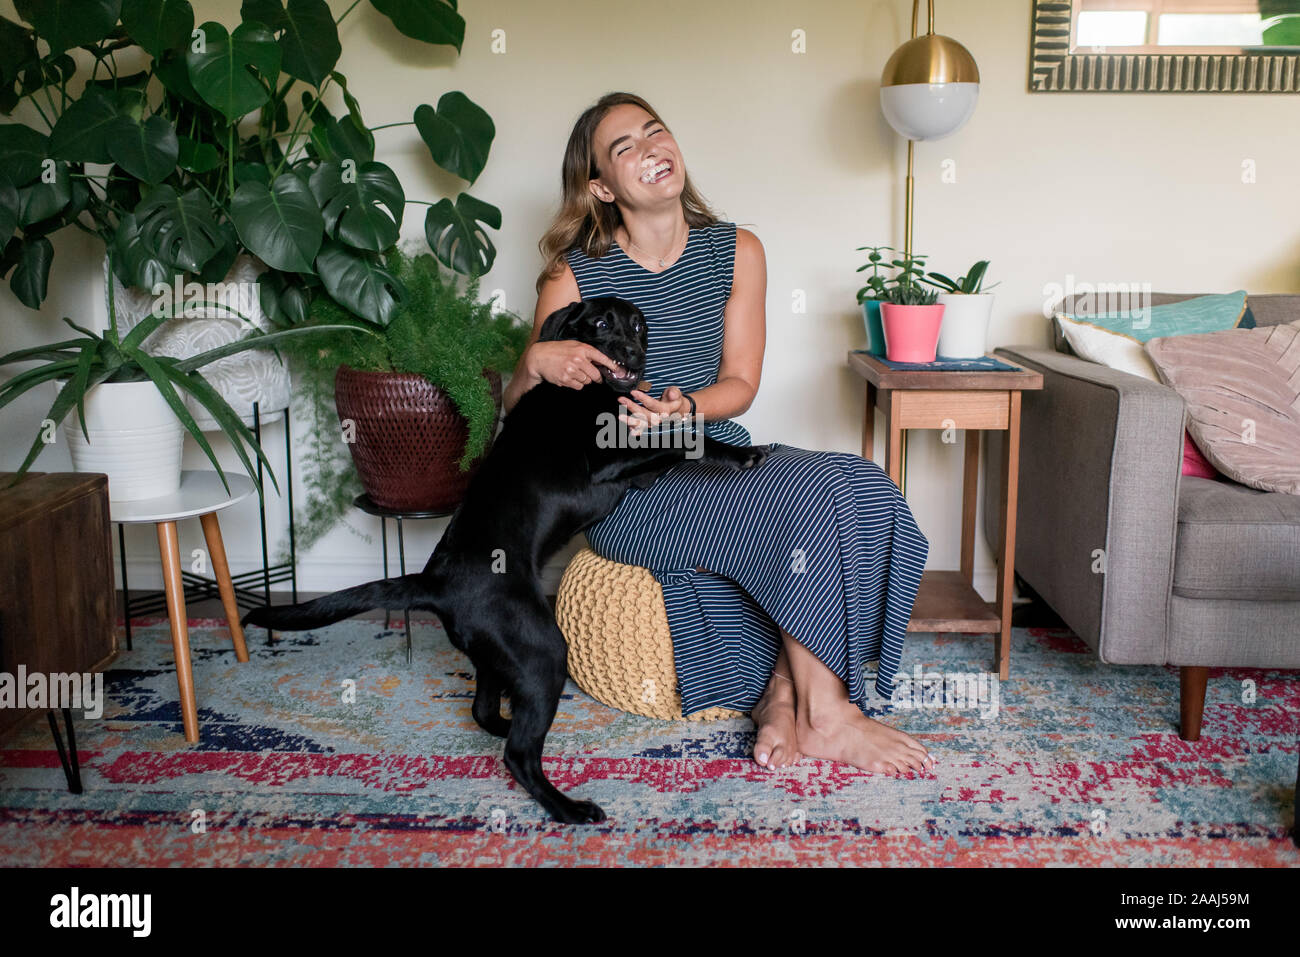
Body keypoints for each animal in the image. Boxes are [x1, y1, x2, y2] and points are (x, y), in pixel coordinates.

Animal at [244, 299, 764, 821]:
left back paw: (501, 730)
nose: (635, 355)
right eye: (601, 324)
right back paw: (568, 807)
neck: (584, 391)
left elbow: (673, 432)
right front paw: (739, 454)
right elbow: (680, 437)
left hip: (499, 653)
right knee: (519, 755)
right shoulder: (606, 461)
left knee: (483, 712)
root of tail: (435, 582)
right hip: (542, 651)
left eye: (639, 326)